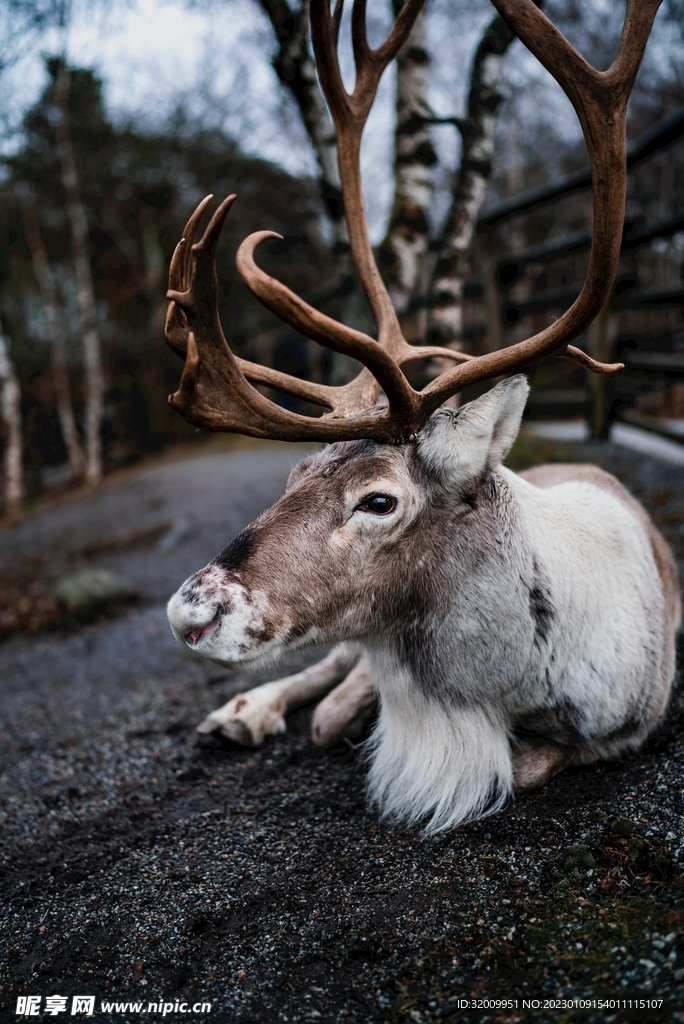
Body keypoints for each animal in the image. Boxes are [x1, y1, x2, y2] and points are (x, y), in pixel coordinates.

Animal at [165, 0, 680, 832]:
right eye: (293, 472)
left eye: (379, 501)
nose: (190, 613)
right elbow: (340, 707)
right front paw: (324, 709)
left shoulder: (627, 724)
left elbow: (522, 765)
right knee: (328, 668)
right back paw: (246, 710)